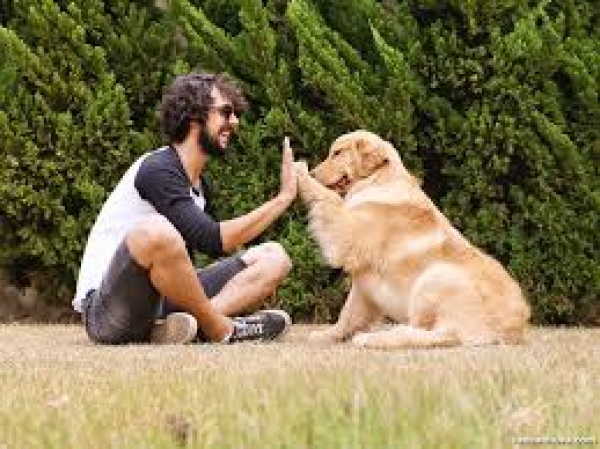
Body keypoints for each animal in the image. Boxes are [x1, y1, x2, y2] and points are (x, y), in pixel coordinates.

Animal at [296, 128, 528, 348]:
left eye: (337, 153)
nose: (314, 173)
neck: (379, 180)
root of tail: (513, 330)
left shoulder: (345, 234)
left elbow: (328, 197)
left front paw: (299, 171)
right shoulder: (363, 284)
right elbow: (348, 314)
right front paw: (328, 335)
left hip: (435, 278)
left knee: (437, 335)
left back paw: (374, 338)